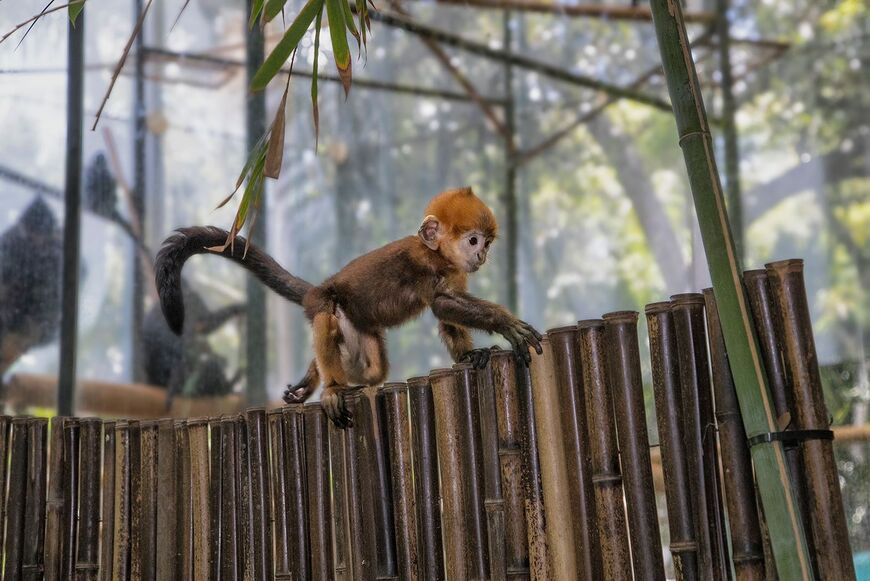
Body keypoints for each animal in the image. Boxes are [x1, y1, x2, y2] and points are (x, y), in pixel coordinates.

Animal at [153, 187, 540, 426]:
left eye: (486, 243)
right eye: (473, 240)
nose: (481, 255)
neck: (437, 254)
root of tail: (316, 289)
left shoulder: (455, 271)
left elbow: (447, 312)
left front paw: (469, 356)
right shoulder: (428, 264)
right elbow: (443, 304)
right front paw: (505, 323)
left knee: (375, 371)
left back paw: (317, 378)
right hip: (328, 303)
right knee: (325, 319)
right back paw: (332, 387)